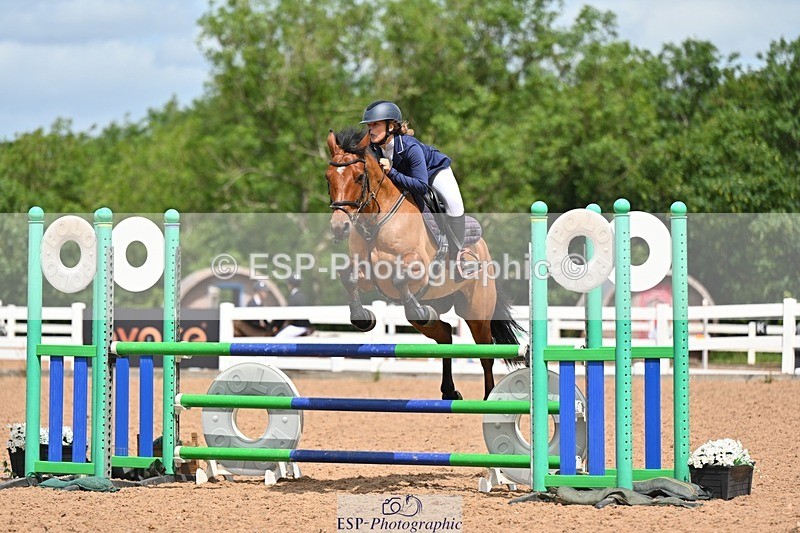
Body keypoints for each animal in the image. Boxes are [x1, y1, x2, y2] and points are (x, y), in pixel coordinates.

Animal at [325, 127, 523, 400]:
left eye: (358, 177)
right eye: (328, 178)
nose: (339, 227)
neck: (375, 223)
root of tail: (484, 248)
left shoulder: (419, 268)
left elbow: (399, 276)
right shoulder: (368, 275)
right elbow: (348, 276)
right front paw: (362, 317)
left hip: (476, 312)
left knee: (486, 355)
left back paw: (488, 399)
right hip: (437, 305)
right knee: (446, 335)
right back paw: (449, 391)